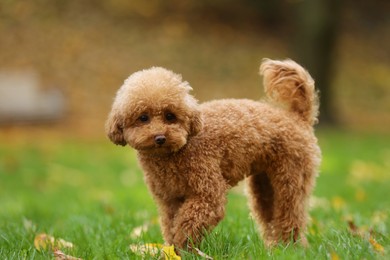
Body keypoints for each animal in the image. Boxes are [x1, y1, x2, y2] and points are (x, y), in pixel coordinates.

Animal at [105, 58, 322, 250]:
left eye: (170, 116)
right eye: (143, 118)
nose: (160, 138)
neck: (178, 151)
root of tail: (297, 118)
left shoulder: (208, 192)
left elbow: (188, 222)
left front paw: (183, 248)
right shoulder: (169, 199)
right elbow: (171, 223)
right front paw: (173, 249)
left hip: (291, 178)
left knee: (291, 214)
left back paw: (293, 247)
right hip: (264, 184)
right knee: (270, 216)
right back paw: (277, 248)